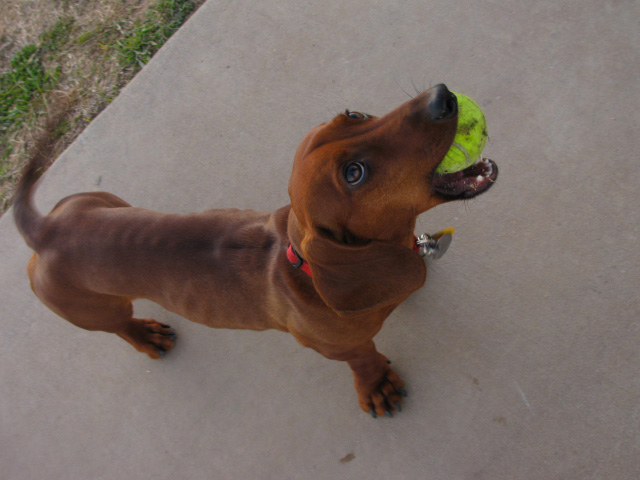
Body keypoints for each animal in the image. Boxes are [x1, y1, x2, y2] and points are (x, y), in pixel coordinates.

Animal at [12, 83, 498, 416]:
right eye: (354, 173)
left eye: (355, 113)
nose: (442, 96)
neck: (304, 272)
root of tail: (43, 230)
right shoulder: (335, 346)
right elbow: (364, 358)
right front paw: (376, 384)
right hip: (93, 311)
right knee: (118, 326)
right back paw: (145, 335)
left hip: (108, 201)